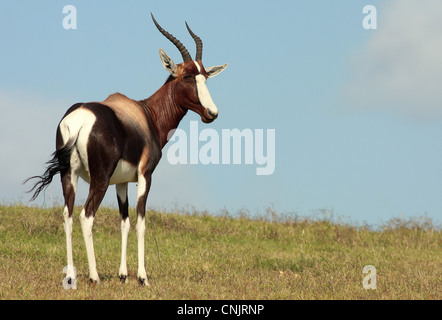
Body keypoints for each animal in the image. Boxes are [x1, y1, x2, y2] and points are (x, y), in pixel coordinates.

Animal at [25, 13, 228, 286]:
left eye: (205, 76)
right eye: (187, 77)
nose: (211, 113)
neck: (146, 114)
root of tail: (79, 120)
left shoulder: (121, 182)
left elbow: (125, 222)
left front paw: (123, 275)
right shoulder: (144, 176)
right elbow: (141, 222)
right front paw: (142, 277)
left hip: (70, 175)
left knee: (67, 216)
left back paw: (70, 276)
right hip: (98, 180)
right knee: (86, 216)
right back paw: (94, 277)